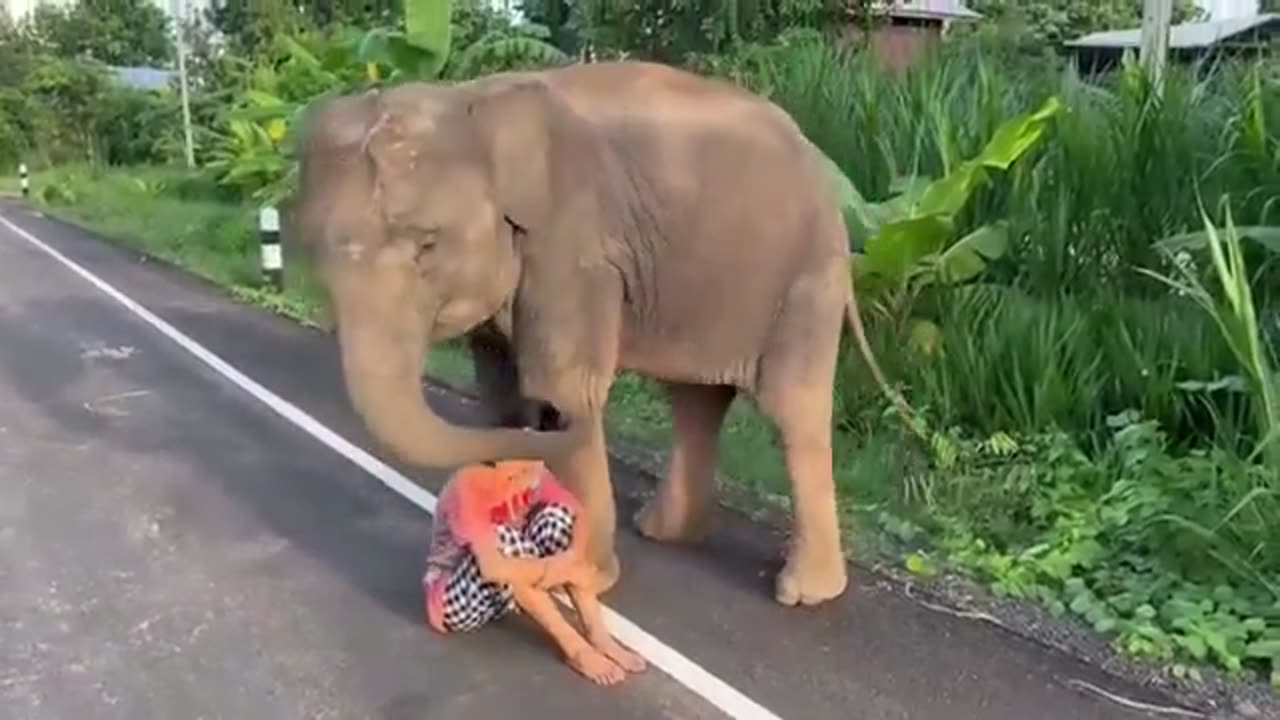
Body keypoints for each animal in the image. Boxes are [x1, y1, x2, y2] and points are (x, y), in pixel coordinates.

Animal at [293, 58, 911, 604]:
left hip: (806, 282)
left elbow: (563, 384)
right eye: (315, 253)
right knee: (696, 400)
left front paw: (578, 578)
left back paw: (803, 593)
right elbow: (501, 391)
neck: (471, 103)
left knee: (791, 408)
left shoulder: (577, 248)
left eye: (426, 244)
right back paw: (662, 532)